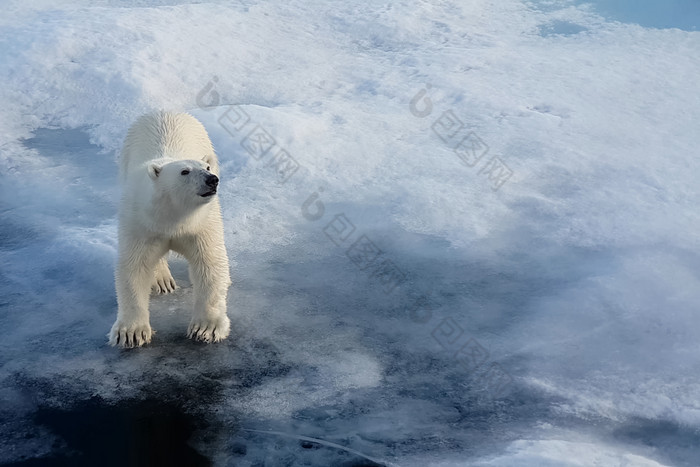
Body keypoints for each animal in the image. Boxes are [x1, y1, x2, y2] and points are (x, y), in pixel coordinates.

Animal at [108, 111, 231, 350]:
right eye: (185, 171)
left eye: (205, 168)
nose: (211, 180)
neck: (172, 217)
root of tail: (164, 111)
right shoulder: (141, 222)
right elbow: (134, 267)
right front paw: (131, 332)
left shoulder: (201, 224)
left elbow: (209, 264)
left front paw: (206, 328)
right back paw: (162, 281)